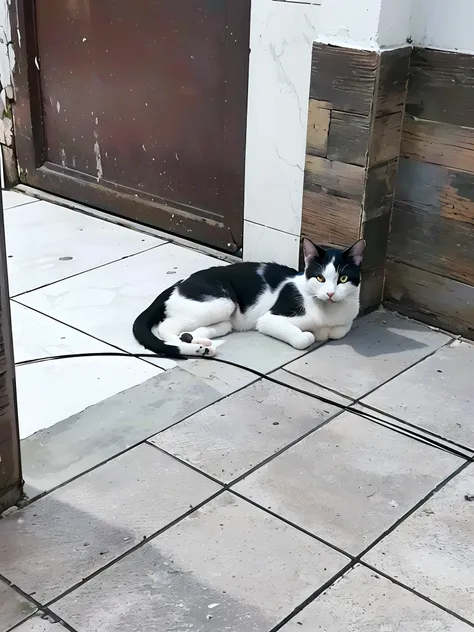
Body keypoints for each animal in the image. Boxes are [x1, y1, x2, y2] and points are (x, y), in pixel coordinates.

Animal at [133, 237, 366, 358]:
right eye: (320, 278)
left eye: (343, 278)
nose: (330, 293)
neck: (328, 313)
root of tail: (179, 283)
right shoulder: (270, 319)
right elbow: (304, 338)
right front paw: (310, 334)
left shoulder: (344, 323)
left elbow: (337, 332)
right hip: (222, 302)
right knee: (166, 328)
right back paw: (193, 348)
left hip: (225, 318)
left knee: (197, 330)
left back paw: (200, 343)